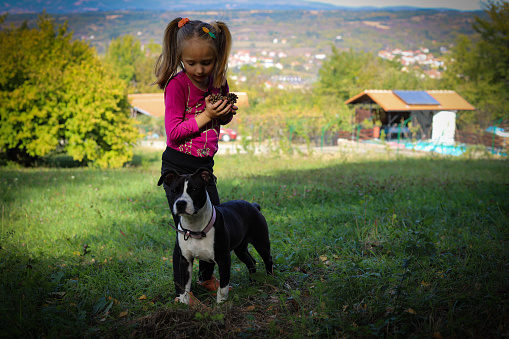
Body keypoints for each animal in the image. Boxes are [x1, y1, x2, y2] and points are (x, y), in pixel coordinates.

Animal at [158, 169, 274, 304]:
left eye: (194, 189)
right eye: (174, 191)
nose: (180, 203)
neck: (195, 227)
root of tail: (253, 205)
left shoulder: (224, 259)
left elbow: (223, 287)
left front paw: (221, 304)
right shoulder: (185, 261)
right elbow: (184, 286)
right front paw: (184, 303)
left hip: (261, 243)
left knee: (268, 260)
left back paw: (270, 280)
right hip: (240, 248)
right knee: (251, 261)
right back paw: (252, 283)